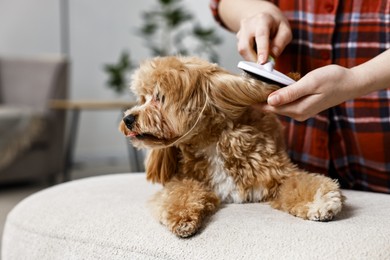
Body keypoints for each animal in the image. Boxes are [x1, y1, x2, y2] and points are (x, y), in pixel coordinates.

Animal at [119, 55, 344, 238]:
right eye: (142, 98)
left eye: (159, 97)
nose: (128, 119)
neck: (210, 144)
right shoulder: (183, 180)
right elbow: (180, 192)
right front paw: (182, 217)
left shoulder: (279, 175)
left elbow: (302, 183)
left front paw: (320, 202)